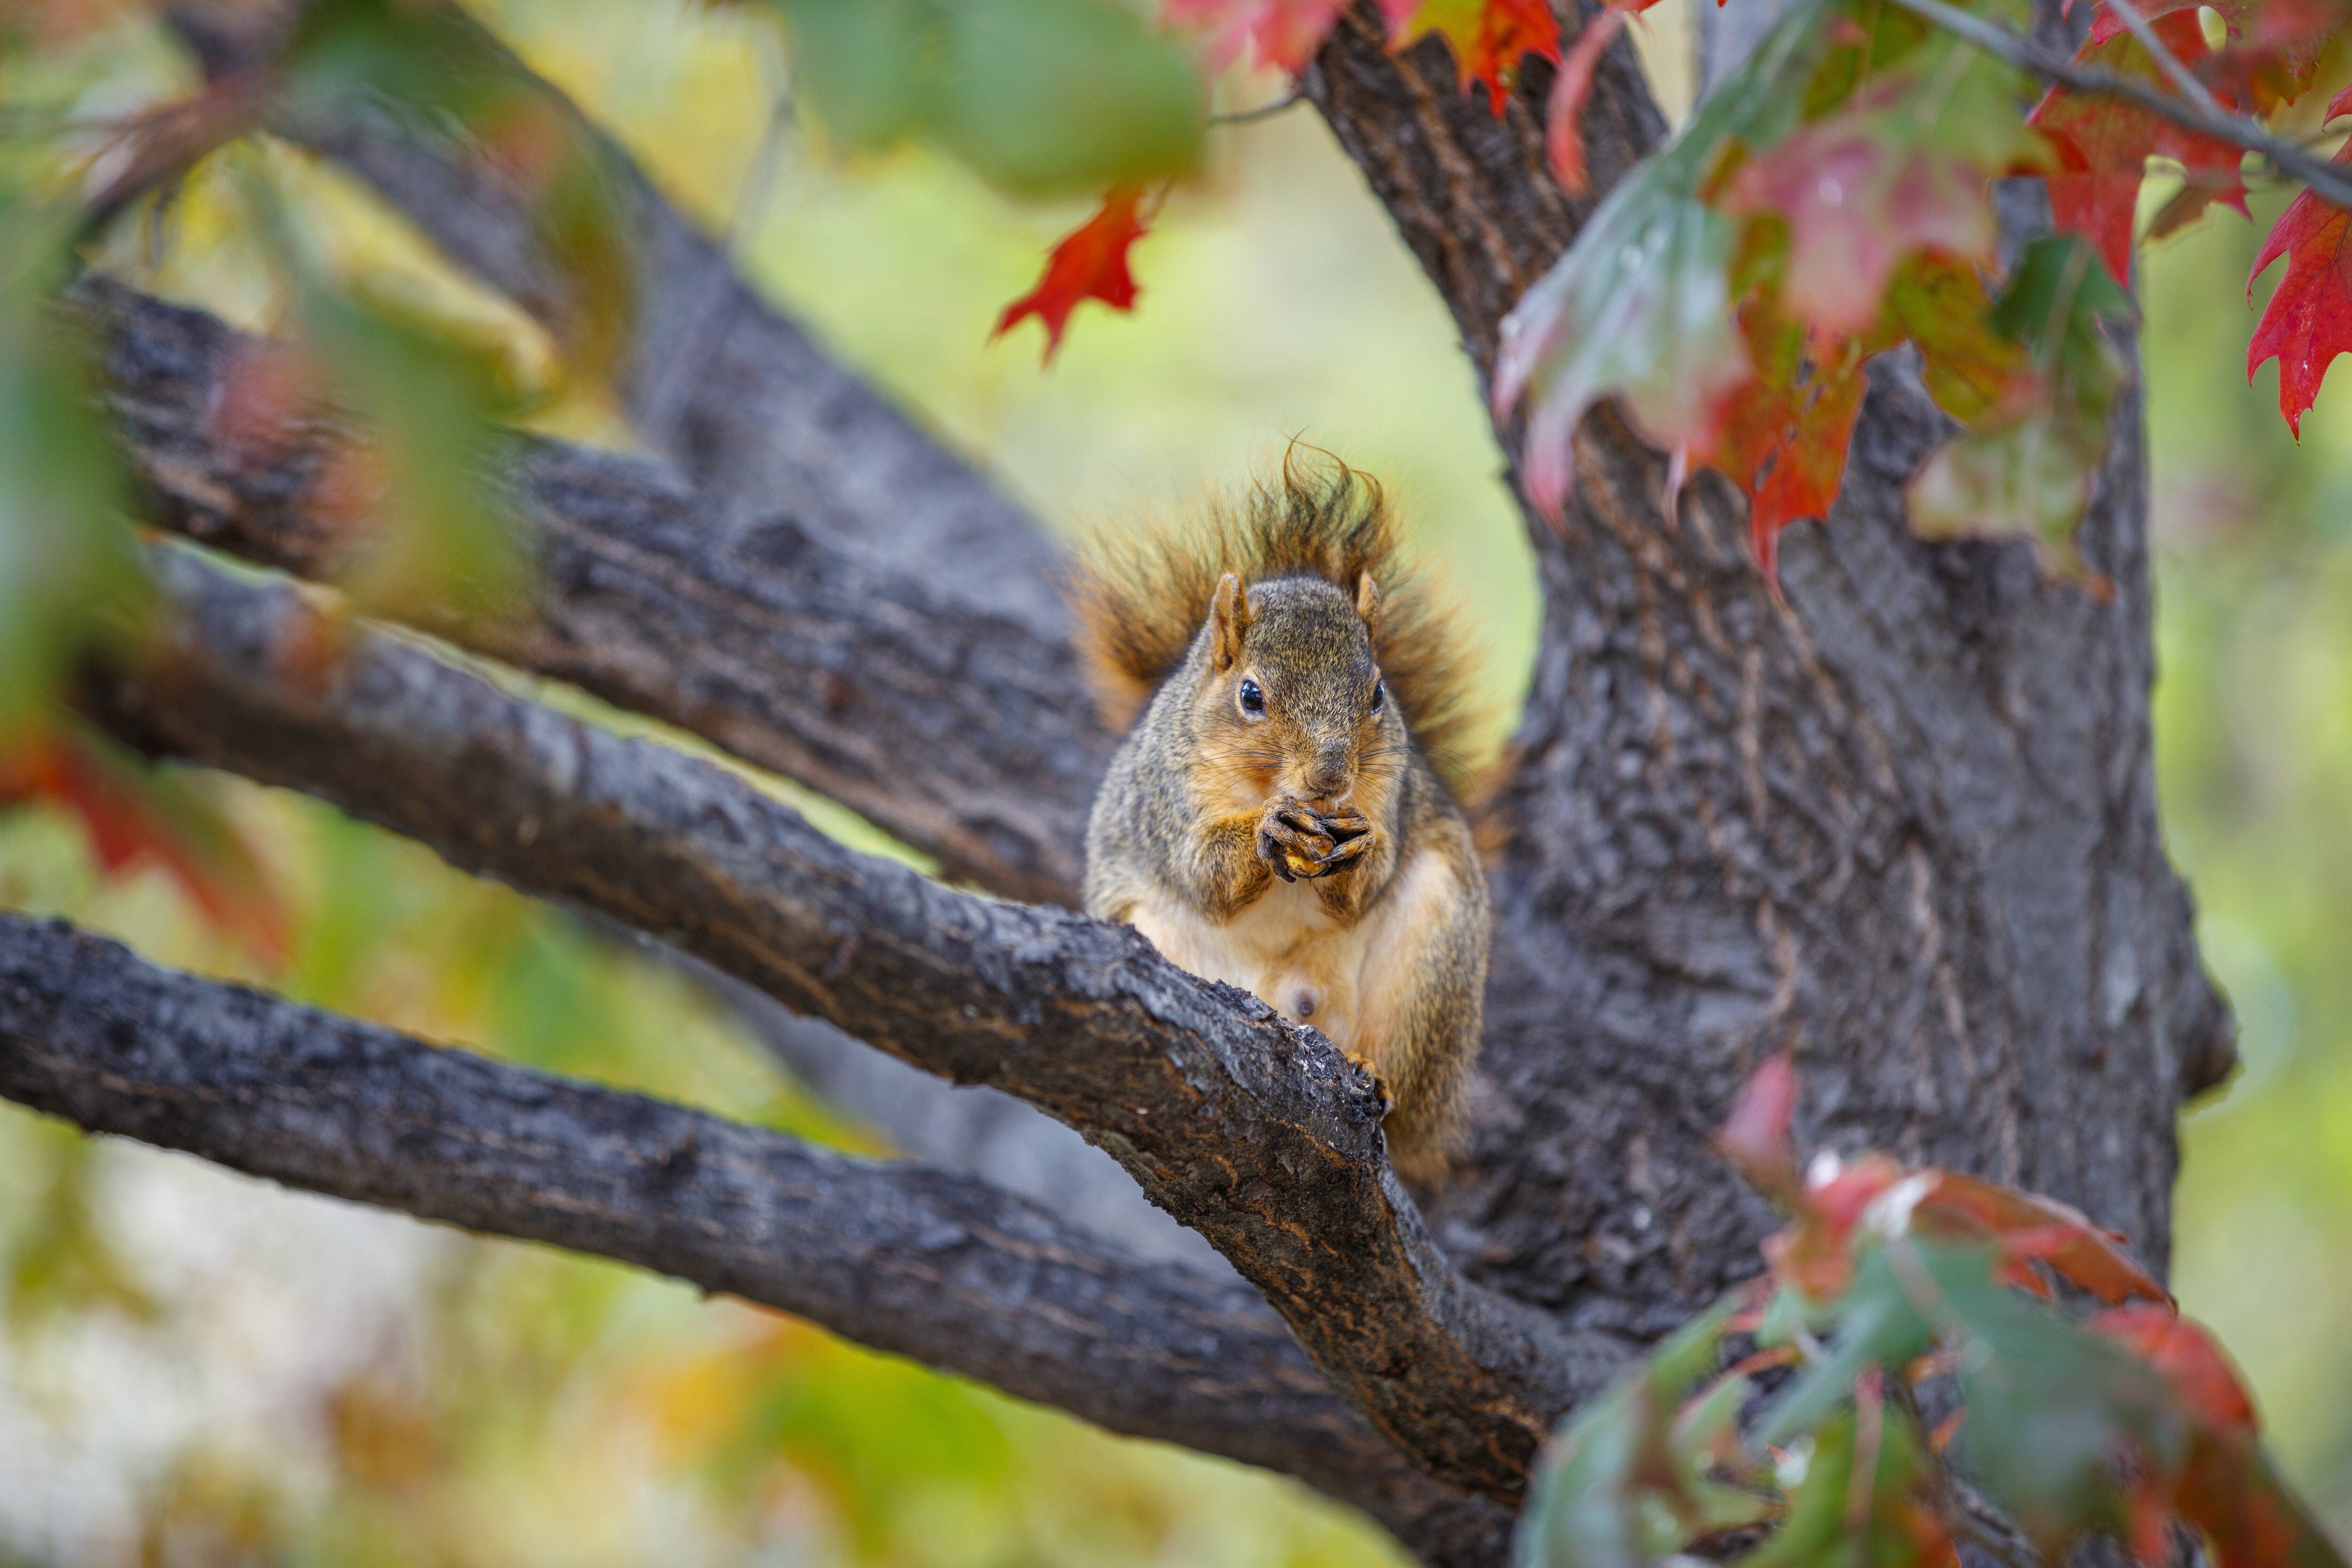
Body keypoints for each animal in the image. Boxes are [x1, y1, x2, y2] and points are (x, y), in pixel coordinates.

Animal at [1073, 454, 1486, 1175]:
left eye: (1378, 694)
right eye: (1250, 695)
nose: (1329, 779)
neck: (1270, 788)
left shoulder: (1391, 791)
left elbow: (1366, 882)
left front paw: (1361, 847)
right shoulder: (1168, 796)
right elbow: (1202, 873)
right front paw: (1268, 832)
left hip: (1433, 958)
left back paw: (1372, 1073)